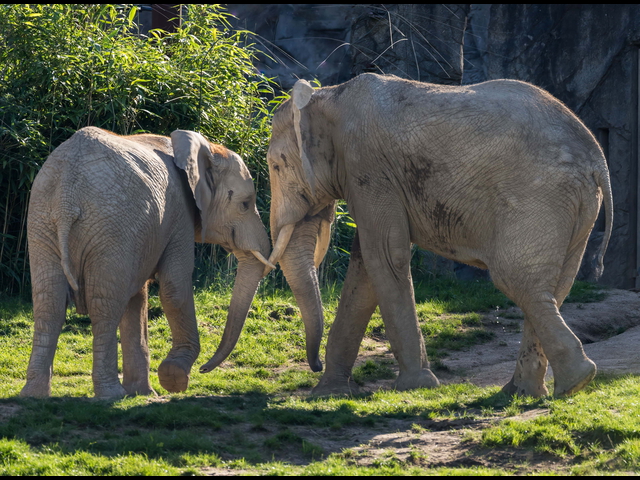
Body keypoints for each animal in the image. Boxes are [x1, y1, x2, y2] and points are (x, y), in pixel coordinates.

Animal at [21, 126, 272, 399]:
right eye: (245, 204)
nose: (204, 369)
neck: (205, 148)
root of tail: (67, 196)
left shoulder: (142, 235)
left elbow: (137, 299)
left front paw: (142, 392)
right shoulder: (178, 214)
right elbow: (174, 288)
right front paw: (173, 378)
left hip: (43, 221)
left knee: (49, 303)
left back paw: (34, 395)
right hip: (108, 227)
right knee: (104, 306)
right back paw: (111, 395)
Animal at [263, 73, 613, 398]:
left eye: (276, 166)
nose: (314, 364)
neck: (328, 96)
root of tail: (598, 161)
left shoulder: (367, 165)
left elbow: (385, 255)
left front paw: (415, 386)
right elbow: (365, 269)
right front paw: (328, 394)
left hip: (539, 196)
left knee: (516, 280)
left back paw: (573, 382)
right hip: (576, 205)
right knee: (555, 286)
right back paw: (528, 392)